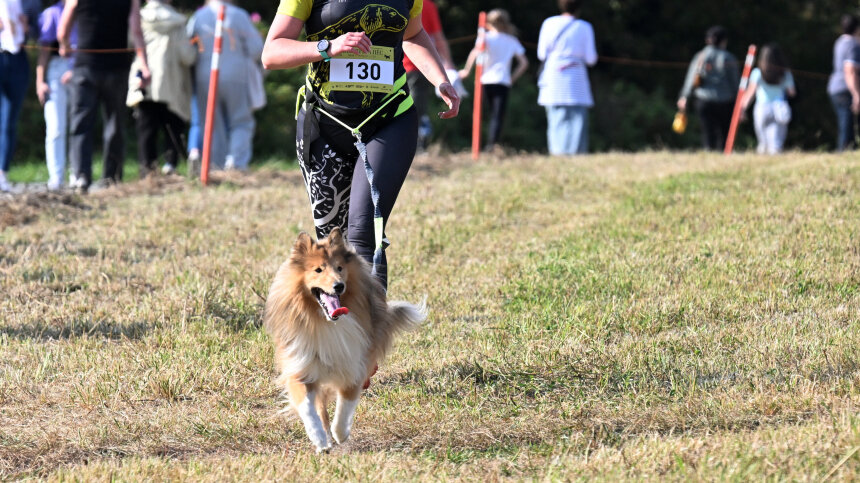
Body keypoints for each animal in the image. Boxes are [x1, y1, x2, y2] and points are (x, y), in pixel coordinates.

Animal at [262, 229, 424, 452]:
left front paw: (340, 434)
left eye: (340, 268)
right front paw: (320, 439)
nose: (339, 286)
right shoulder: (301, 366)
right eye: (318, 270)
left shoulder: (354, 364)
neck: (325, 321)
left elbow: (345, 404)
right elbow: (307, 407)